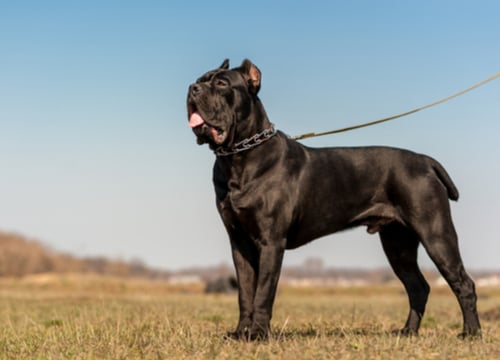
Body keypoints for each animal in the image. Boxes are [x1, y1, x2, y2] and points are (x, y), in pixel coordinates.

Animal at [187, 59, 480, 340]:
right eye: (200, 79)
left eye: (222, 83)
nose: (193, 88)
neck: (238, 156)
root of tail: (425, 161)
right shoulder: (240, 243)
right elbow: (245, 293)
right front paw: (240, 333)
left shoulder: (271, 241)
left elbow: (263, 293)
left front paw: (258, 334)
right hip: (398, 244)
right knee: (417, 287)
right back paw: (408, 332)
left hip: (436, 234)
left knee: (463, 283)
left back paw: (471, 333)